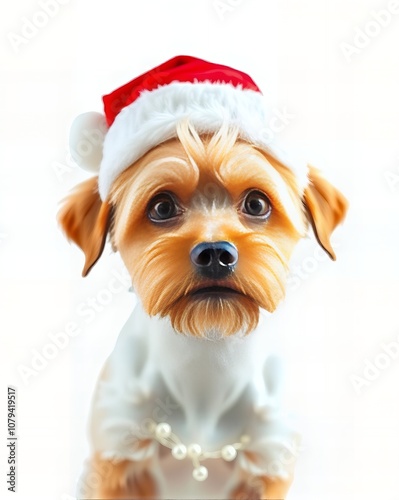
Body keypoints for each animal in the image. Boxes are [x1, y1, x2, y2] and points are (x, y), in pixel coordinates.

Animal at [57, 55, 348, 500]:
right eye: (161, 207)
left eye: (257, 203)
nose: (215, 253)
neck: (206, 361)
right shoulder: (113, 459)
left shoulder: (269, 463)